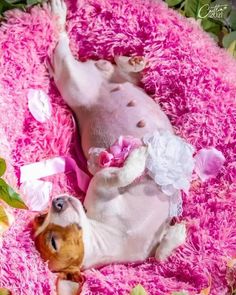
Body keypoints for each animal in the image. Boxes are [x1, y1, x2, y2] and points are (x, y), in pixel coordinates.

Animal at [34, 0, 195, 294]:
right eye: (52, 240)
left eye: (43, 219)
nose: (57, 201)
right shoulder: (101, 183)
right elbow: (120, 174)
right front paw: (139, 156)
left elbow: (160, 253)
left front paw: (174, 235)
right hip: (71, 82)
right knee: (62, 46)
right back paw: (58, 12)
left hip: (111, 77)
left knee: (123, 71)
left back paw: (133, 61)